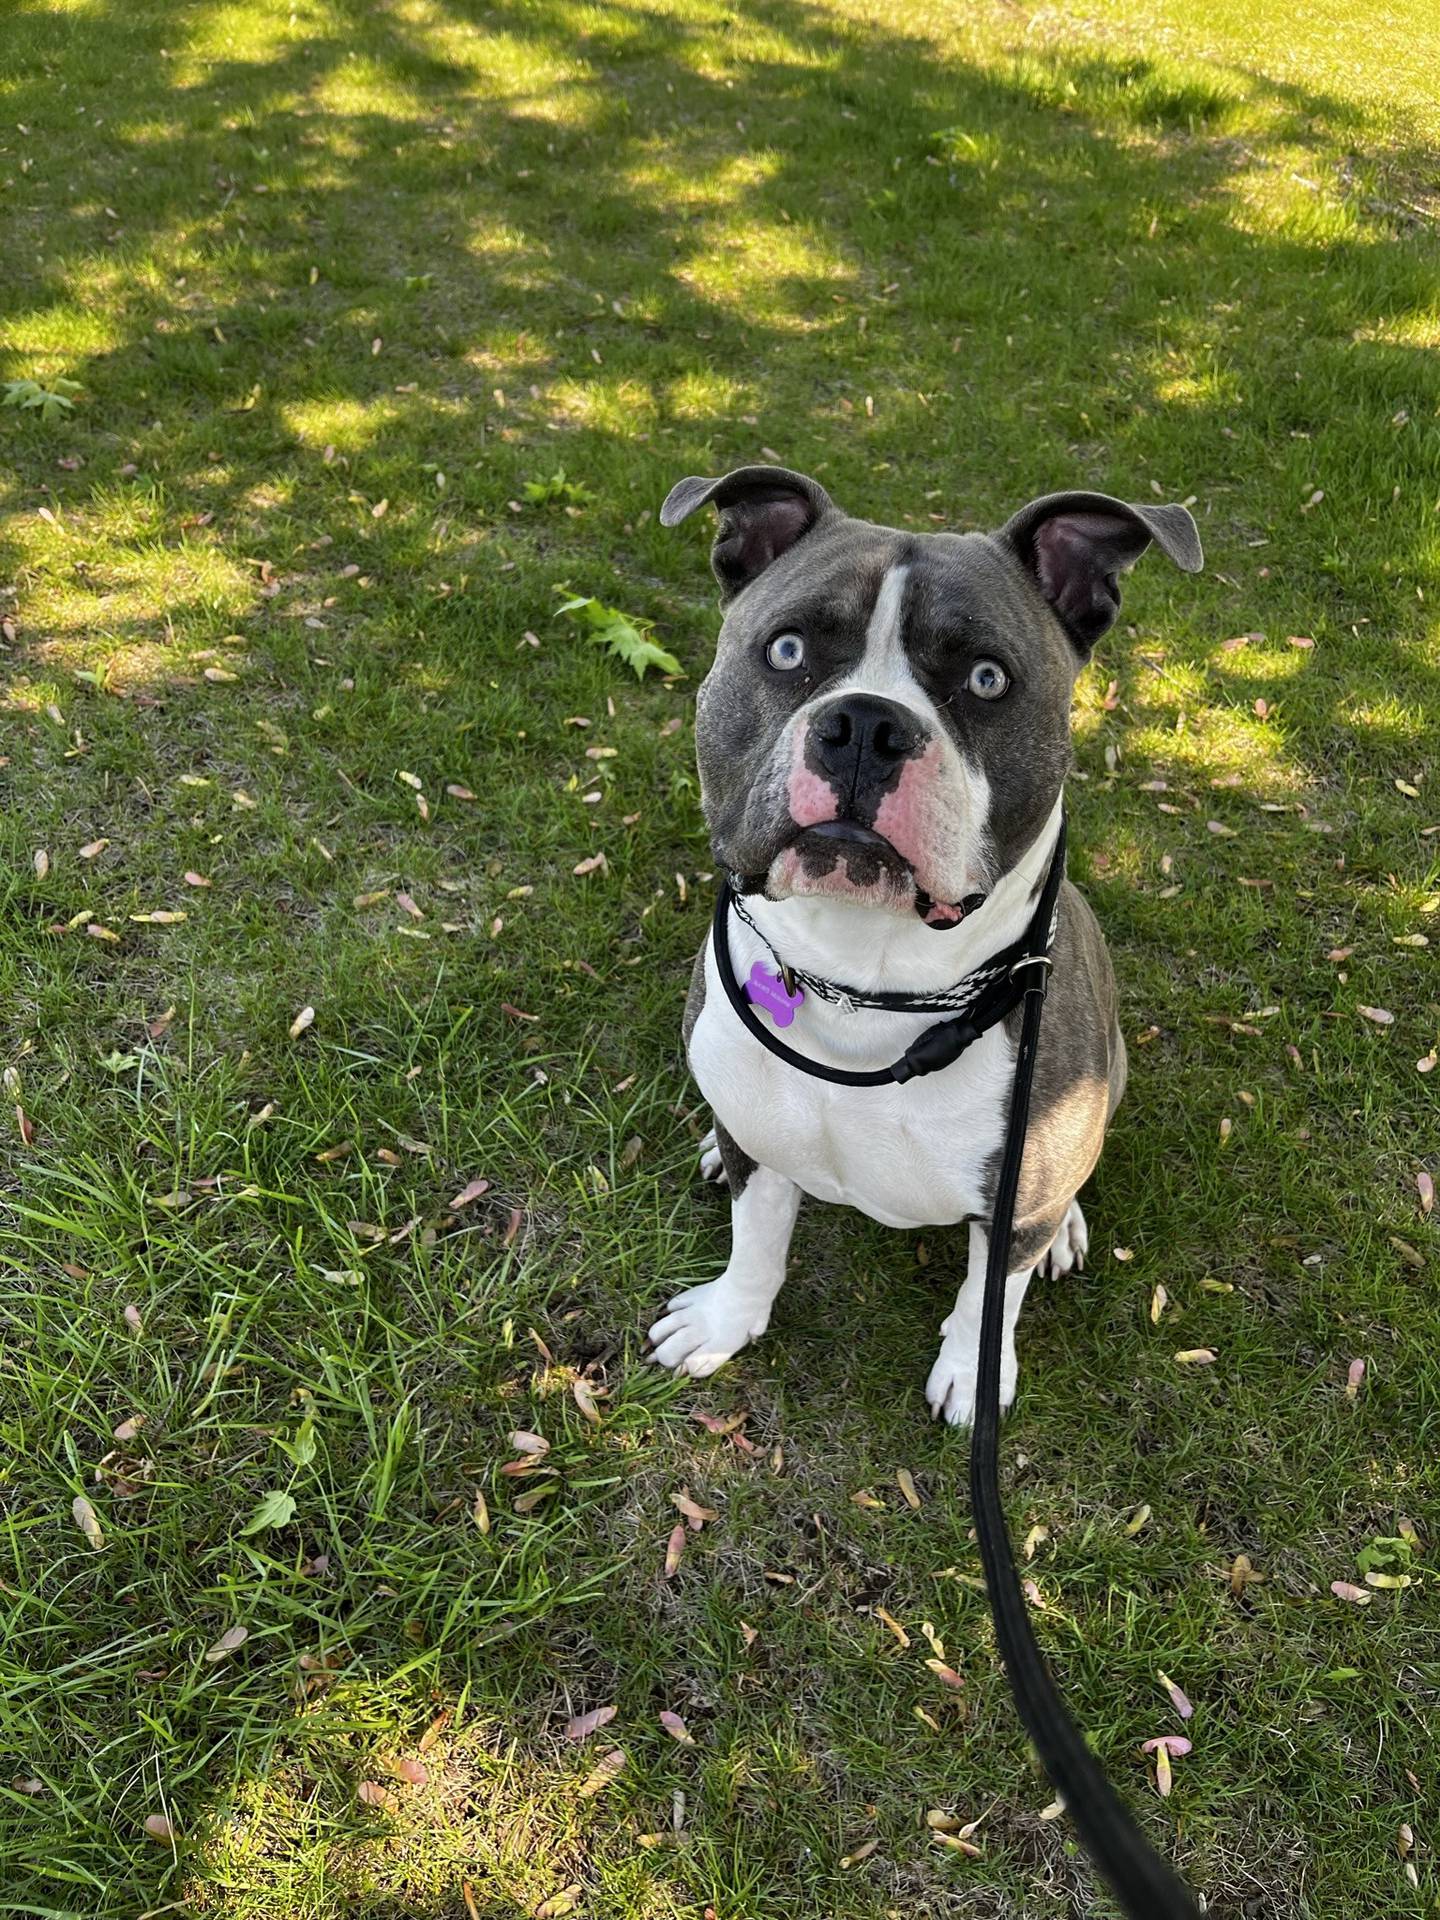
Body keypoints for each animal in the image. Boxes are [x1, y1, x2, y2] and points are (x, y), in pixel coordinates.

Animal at [645, 464, 1205, 1428]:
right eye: (785, 652)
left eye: (986, 679)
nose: (865, 725)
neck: (862, 984)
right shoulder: (764, 1155)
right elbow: (758, 1239)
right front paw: (725, 1321)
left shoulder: (1017, 1202)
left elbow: (989, 1298)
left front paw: (975, 1374)